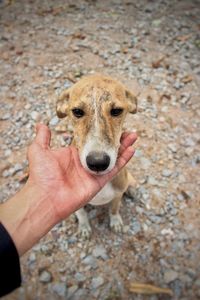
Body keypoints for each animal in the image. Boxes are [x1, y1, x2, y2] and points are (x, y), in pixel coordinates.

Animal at [56, 74, 138, 238]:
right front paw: (84, 226)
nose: (98, 162)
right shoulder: (77, 204)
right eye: (77, 111)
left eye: (117, 111)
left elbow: (114, 209)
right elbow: (81, 213)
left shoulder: (117, 195)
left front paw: (116, 221)